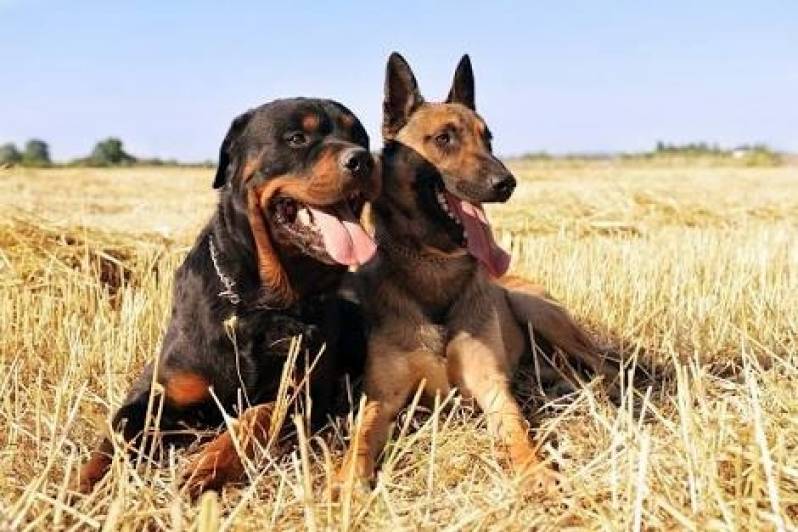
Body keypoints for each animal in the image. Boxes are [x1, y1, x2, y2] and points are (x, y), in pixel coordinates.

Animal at [76, 97, 382, 496]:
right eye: (297, 138)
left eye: (360, 137)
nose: (363, 159)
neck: (259, 301)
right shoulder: (157, 391)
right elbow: (115, 436)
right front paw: (78, 487)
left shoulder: (305, 395)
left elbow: (259, 415)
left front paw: (208, 464)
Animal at [338, 54, 620, 494]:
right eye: (444, 138)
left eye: (488, 139)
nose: (506, 183)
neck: (435, 270)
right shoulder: (381, 398)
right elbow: (362, 436)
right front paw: (347, 478)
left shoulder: (492, 389)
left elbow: (519, 431)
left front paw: (535, 470)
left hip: (536, 310)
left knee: (606, 366)